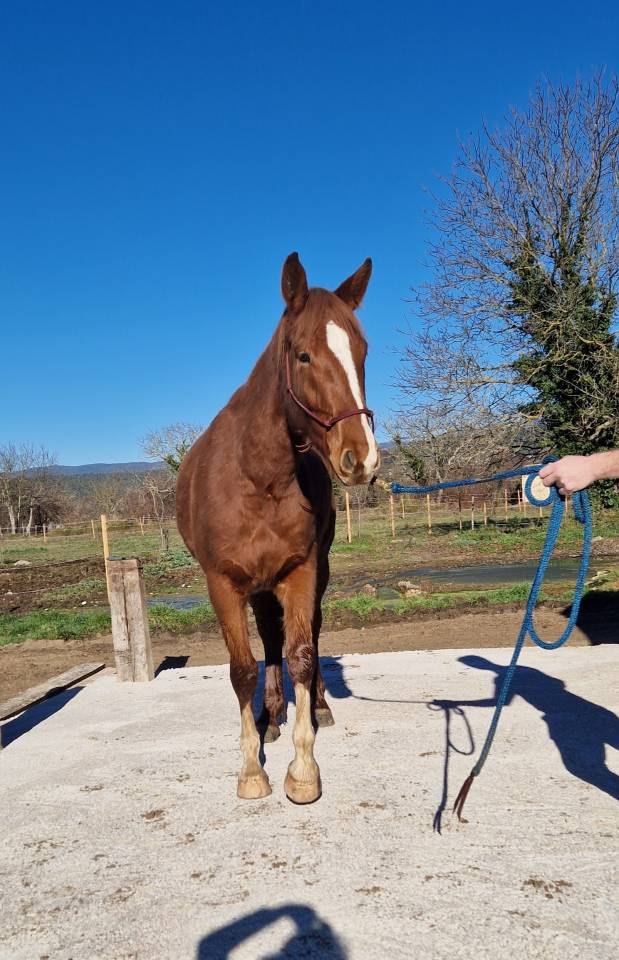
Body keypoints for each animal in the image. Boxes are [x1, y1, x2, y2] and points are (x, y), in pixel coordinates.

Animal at [176, 253, 379, 803]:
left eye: (362, 351)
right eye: (303, 356)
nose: (361, 457)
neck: (258, 477)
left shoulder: (301, 571)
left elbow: (303, 655)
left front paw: (303, 768)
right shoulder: (224, 584)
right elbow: (242, 668)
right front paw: (252, 769)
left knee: (301, 636)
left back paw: (317, 707)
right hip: (257, 587)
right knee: (267, 644)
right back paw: (269, 717)